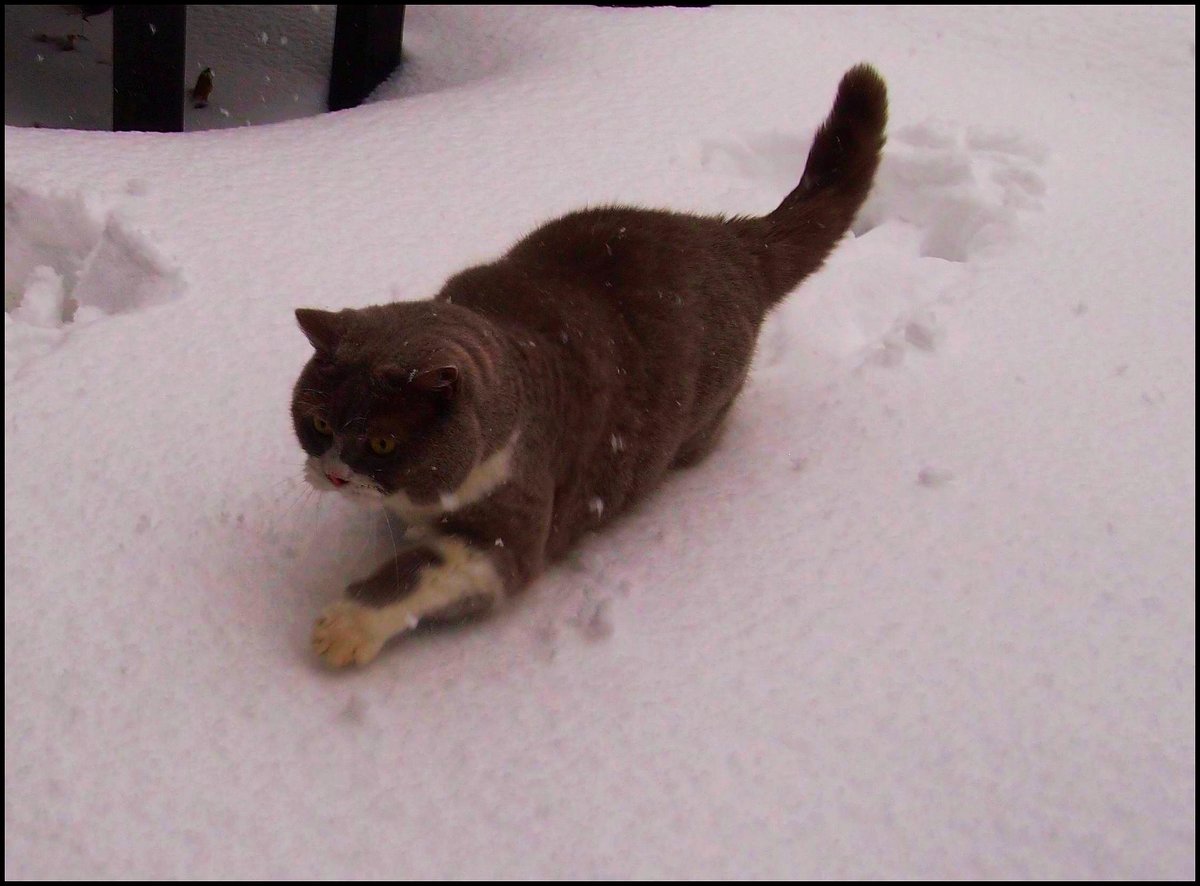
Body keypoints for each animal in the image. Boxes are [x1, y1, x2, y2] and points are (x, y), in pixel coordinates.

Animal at [294, 63, 888, 662]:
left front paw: (343, 628)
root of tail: (731, 238)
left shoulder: (510, 529)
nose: (335, 472)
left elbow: (427, 570)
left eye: (383, 442)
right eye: (317, 422)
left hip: (705, 410)